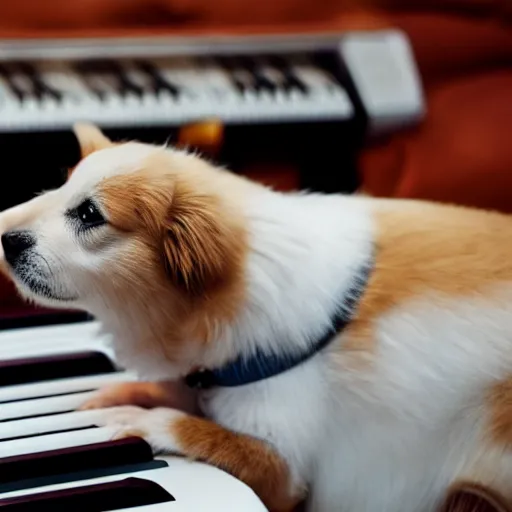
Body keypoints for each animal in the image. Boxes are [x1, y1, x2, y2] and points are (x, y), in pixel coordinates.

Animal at [1, 121, 512, 512]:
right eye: (60, 185)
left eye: (90, 214)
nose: (4, 235)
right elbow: (169, 391)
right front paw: (118, 393)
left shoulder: (283, 468)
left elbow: (190, 426)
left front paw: (136, 418)